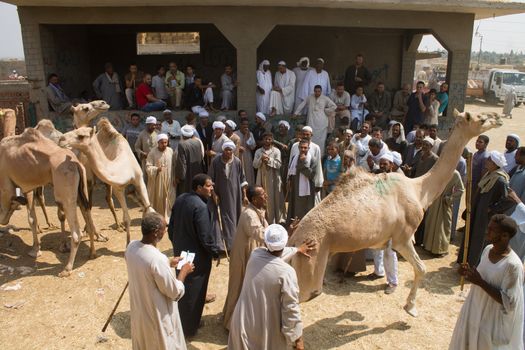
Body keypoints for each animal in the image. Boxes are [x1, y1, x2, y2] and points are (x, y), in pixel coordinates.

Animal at [0, 128, 97, 276]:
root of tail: (75, 163)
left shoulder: (10, 185)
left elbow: (25, 216)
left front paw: (35, 251)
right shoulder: (27, 186)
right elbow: (32, 217)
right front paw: (35, 248)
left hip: (65, 191)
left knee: (76, 232)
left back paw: (67, 269)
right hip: (82, 190)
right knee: (88, 216)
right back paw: (92, 253)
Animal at [288, 109, 502, 318]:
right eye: (480, 118)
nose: (498, 118)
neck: (419, 189)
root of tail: (294, 240)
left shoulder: (386, 239)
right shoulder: (403, 237)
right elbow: (421, 268)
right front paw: (411, 307)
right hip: (311, 263)